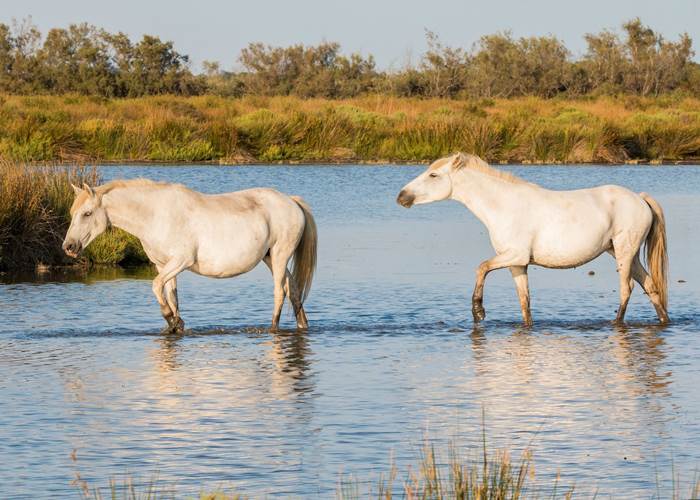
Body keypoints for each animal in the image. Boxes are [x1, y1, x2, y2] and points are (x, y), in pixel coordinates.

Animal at [62, 179, 317, 333]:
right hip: (271, 258)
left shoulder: (180, 261)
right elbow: (172, 297)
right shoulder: (163, 265)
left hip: (280, 255)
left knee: (280, 292)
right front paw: (175, 325)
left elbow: (156, 286)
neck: (155, 215)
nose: (69, 246)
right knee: (294, 290)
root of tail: (291, 201)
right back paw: (302, 325)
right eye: (73, 213)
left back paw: (273, 329)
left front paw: (172, 319)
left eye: (87, 213)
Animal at [396, 153, 669, 326]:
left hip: (624, 252)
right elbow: (524, 302)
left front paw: (478, 312)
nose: (401, 196)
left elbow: (481, 267)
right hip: (624, 254)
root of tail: (639, 198)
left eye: (433, 175)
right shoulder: (517, 264)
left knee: (627, 289)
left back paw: (616, 323)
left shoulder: (514, 255)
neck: (503, 206)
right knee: (651, 287)